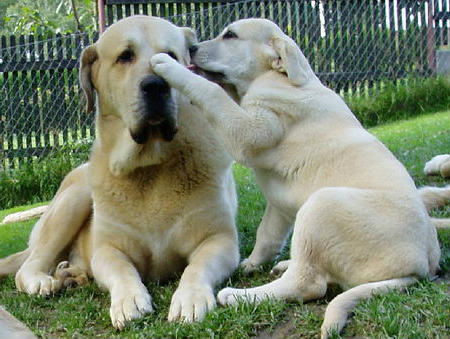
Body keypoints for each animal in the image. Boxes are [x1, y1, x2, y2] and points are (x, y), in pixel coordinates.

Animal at [0, 15, 239, 330]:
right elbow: (122, 270)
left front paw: (190, 298)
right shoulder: (108, 249)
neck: (149, 167)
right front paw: (129, 300)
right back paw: (45, 280)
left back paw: (69, 275)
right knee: (28, 267)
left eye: (171, 56)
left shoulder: (219, 240)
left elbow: (198, 266)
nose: (156, 85)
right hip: (74, 199)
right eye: (125, 56)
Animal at [149, 19, 442, 339]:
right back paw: (283, 265)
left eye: (230, 36)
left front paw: (168, 65)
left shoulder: (249, 128)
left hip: (320, 204)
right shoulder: (279, 204)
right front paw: (253, 262)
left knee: (307, 283)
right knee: (310, 267)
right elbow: (267, 234)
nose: (191, 48)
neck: (279, 77)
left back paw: (240, 296)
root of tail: (423, 266)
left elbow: (212, 92)